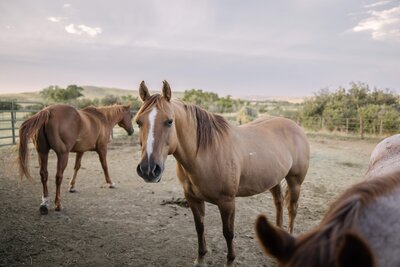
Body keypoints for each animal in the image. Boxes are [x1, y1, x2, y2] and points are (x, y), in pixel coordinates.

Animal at [134, 81, 310, 267]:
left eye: (169, 121)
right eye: (138, 122)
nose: (148, 169)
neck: (205, 153)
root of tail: (295, 126)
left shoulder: (227, 202)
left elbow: (228, 232)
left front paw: (230, 260)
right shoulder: (192, 198)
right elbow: (200, 228)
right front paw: (200, 259)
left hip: (295, 181)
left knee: (292, 209)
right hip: (274, 179)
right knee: (278, 204)